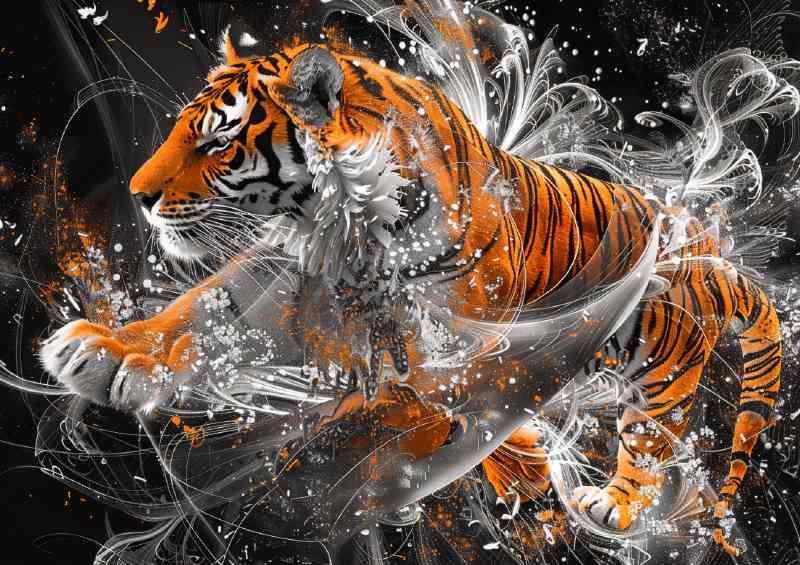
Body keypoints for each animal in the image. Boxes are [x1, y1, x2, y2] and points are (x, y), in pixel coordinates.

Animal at [39, 22, 781, 556]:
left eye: (218, 144)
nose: (139, 198)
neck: (334, 222)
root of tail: (698, 240)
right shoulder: (280, 270)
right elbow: (200, 307)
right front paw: (105, 349)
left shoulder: (470, 315)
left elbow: (445, 386)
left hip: (661, 366)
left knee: (651, 439)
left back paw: (615, 503)